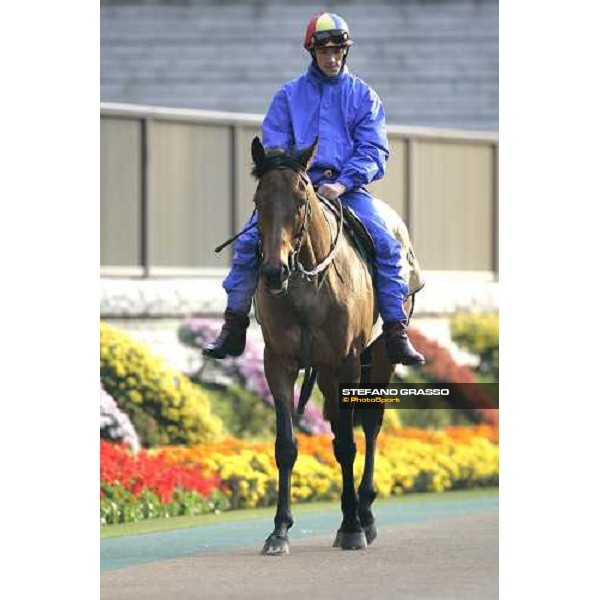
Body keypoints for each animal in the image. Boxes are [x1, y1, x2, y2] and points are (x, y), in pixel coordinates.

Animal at [250, 138, 412, 556]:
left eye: (301, 200)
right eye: (259, 200)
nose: (273, 271)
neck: (307, 288)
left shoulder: (347, 361)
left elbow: (347, 444)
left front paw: (353, 527)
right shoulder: (279, 361)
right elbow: (286, 445)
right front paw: (279, 530)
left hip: (380, 357)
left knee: (369, 425)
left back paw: (364, 514)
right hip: (323, 371)